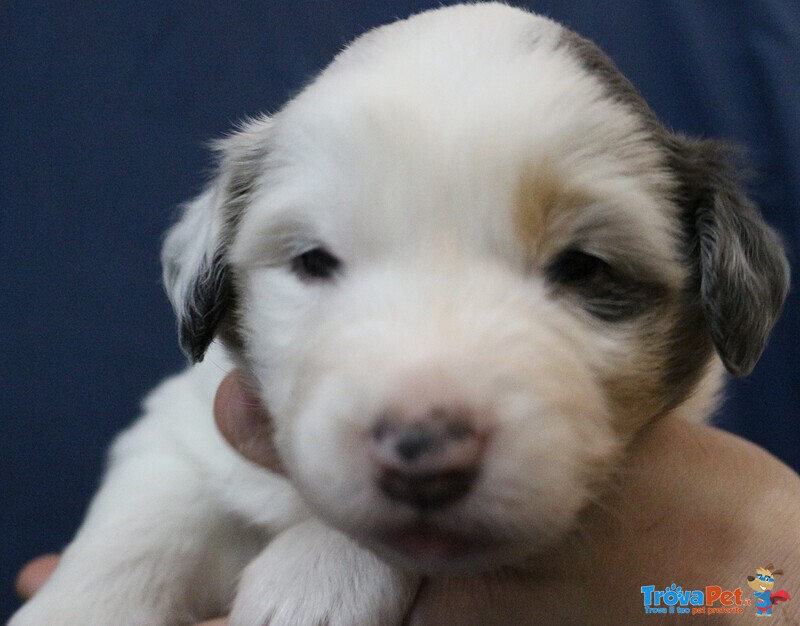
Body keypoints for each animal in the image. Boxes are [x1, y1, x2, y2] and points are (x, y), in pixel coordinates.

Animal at [10, 4, 788, 624]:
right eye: (314, 261)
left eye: (584, 268)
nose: (425, 452)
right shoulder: (180, 427)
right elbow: (140, 523)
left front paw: (315, 578)